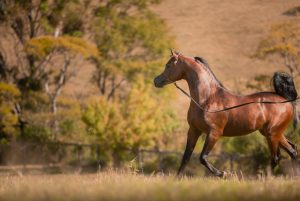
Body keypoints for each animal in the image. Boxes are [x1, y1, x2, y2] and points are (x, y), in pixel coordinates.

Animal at [154, 49, 298, 177]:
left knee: (277, 157)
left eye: (168, 65)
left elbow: (203, 157)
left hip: (272, 134)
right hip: (274, 133)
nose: (156, 81)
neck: (207, 99)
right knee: (292, 150)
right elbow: (185, 158)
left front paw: (223, 174)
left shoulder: (214, 133)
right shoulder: (194, 130)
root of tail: (285, 100)